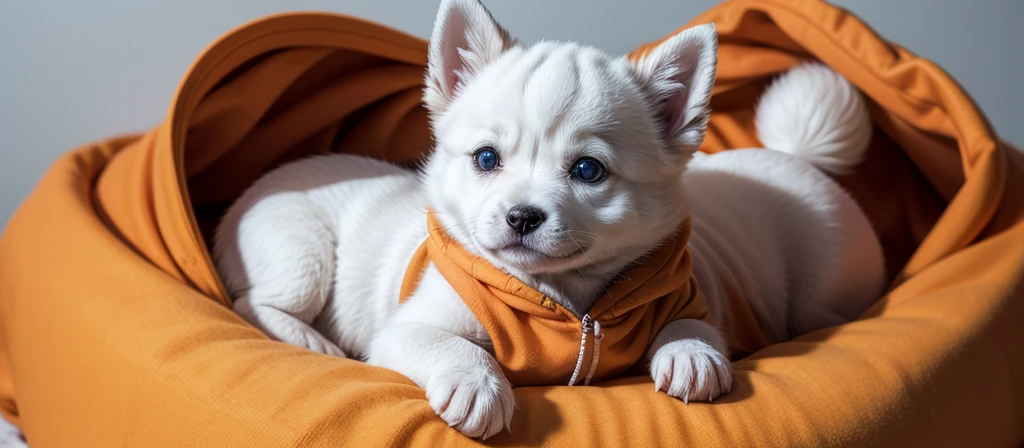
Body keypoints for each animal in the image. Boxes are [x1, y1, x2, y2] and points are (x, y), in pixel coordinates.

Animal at [211, 0, 884, 441]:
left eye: (588, 170)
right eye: (486, 159)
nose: (521, 215)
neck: (565, 299)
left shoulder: (692, 298)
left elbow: (695, 327)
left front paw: (690, 354)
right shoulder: (404, 330)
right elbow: (447, 343)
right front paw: (477, 384)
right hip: (298, 249)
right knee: (255, 302)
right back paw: (312, 340)